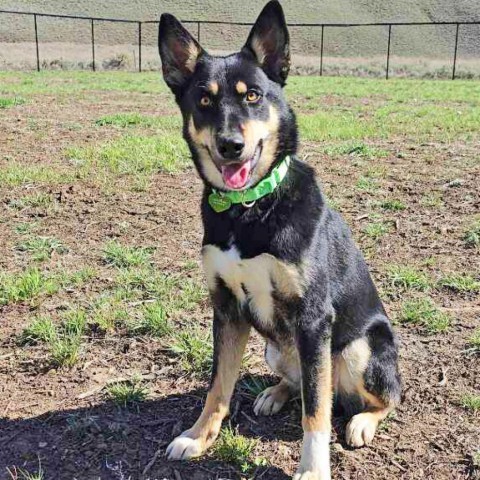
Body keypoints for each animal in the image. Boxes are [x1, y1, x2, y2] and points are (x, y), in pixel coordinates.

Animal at [158, 1, 402, 478]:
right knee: (303, 383)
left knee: (378, 395)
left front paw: (313, 468)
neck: (251, 207)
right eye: (204, 100)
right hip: (277, 348)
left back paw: (363, 421)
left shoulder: (313, 317)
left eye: (253, 95)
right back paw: (276, 393)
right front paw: (197, 437)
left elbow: (316, 412)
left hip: (359, 348)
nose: (230, 145)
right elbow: (218, 386)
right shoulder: (226, 307)